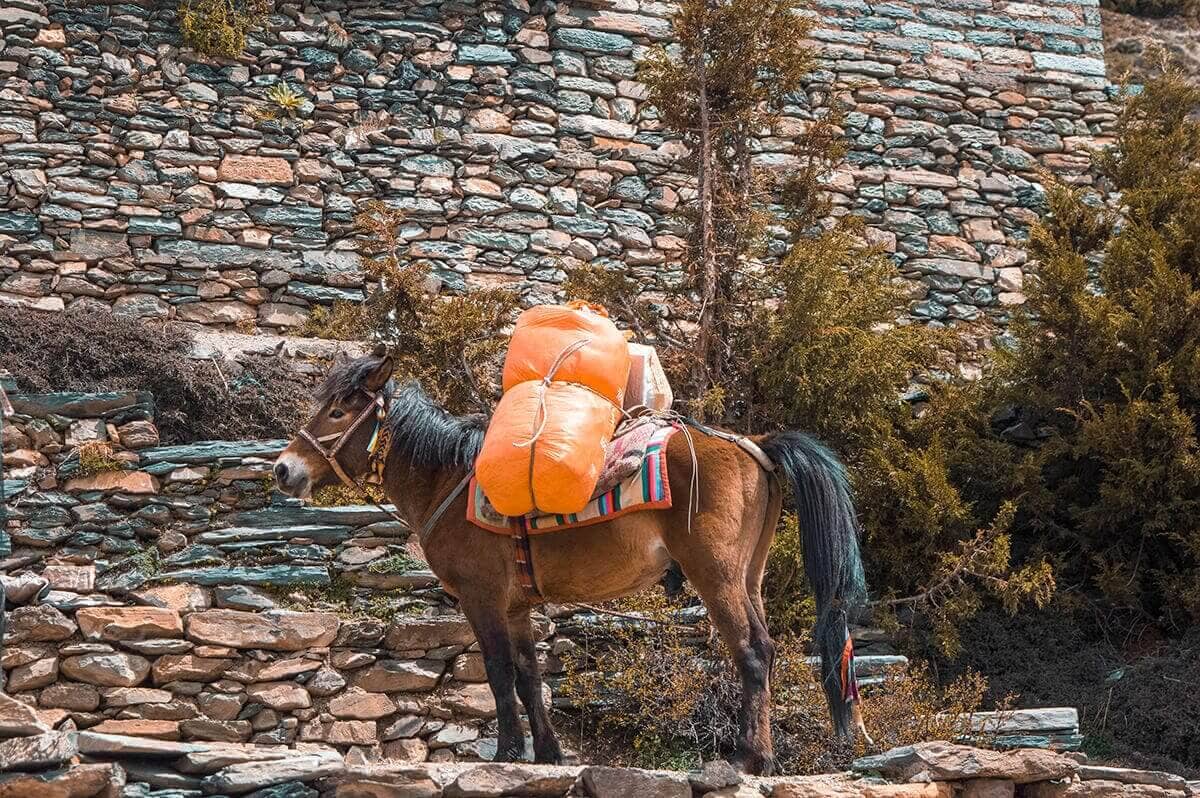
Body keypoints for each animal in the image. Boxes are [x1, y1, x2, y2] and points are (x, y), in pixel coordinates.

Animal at [273, 347, 867, 775]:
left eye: (339, 409)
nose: (283, 470)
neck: (449, 479)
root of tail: (755, 443)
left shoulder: (482, 599)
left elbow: (497, 673)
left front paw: (508, 751)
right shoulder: (516, 606)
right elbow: (529, 675)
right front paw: (548, 753)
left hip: (714, 574)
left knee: (751, 651)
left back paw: (749, 757)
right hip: (750, 575)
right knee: (765, 645)